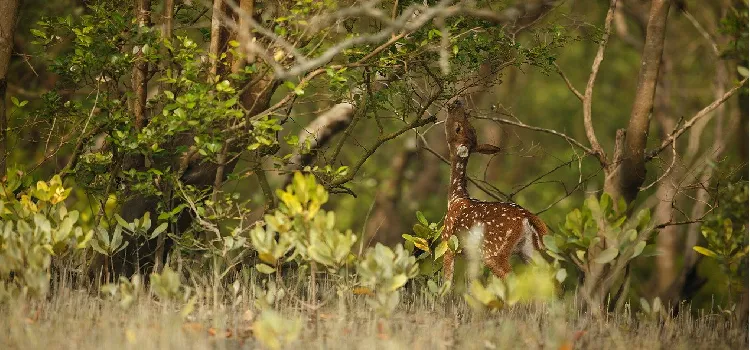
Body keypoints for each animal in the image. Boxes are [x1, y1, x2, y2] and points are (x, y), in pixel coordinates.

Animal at [444, 98, 548, 282]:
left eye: (458, 128)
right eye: (469, 126)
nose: (456, 101)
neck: (455, 197)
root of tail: (528, 218)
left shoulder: (448, 243)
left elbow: (446, 283)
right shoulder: (471, 256)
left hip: (494, 251)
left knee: (512, 277)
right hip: (528, 250)